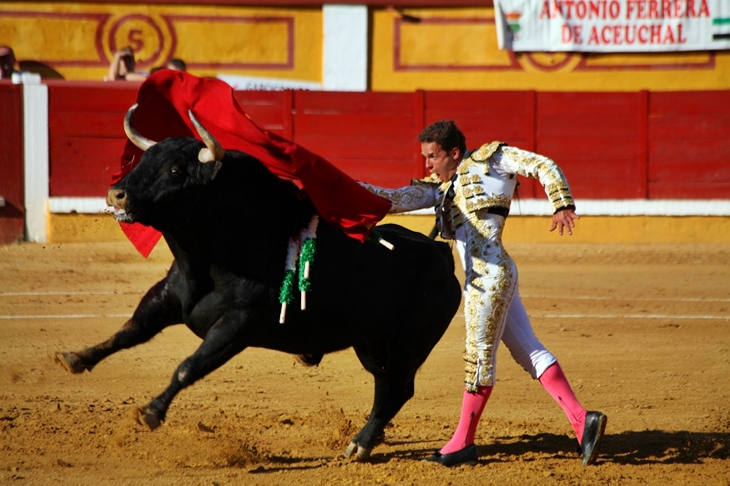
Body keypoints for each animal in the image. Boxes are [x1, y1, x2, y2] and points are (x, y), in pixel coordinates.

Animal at [54, 108, 458, 462]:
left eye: (174, 170)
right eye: (142, 160)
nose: (116, 193)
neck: (210, 257)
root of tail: (441, 254)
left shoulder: (237, 325)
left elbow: (188, 365)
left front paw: (152, 412)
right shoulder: (166, 298)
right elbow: (129, 331)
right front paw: (76, 358)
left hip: (410, 342)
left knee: (398, 389)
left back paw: (360, 444)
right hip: (372, 342)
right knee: (384, 385)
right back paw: (367, 440)